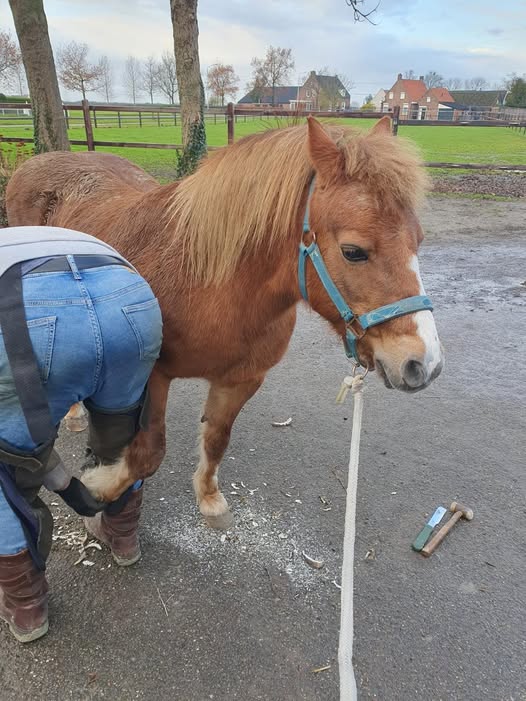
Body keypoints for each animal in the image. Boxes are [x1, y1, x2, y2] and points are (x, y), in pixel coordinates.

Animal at [6, 117, 444, 528]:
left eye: (419, 240)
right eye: (353, 252)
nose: (424, 365)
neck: (210, 284)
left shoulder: (241, 380)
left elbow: (217, 439)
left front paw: (209, 498)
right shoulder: (153, 377)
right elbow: (149, 452)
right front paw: (97, 489)